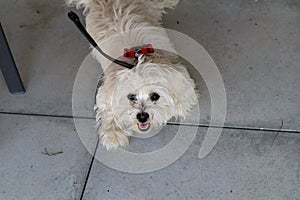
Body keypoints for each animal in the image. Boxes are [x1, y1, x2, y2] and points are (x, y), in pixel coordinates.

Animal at [66, 0, 198, 150]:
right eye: (131, 97)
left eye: (155, 96)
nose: (142, 116)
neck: (137, 60)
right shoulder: (107, 88)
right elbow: (108, 107)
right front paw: (113, 133)